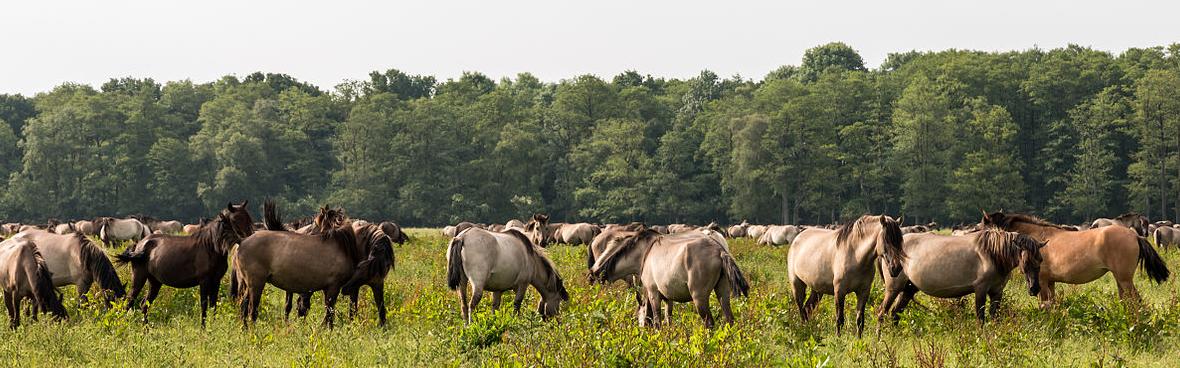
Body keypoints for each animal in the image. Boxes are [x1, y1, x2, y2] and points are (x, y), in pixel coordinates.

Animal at [116, 202, 254, 325]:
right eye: (236, 219)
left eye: (248, 217)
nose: (250, 238)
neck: (211, 247)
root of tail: (139, 245)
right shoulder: (204, 281)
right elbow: (204, 306)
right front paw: (203, 329)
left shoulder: (216, 281)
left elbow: (213, 305)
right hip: (139, 278)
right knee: (129, 301)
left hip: (155, 282)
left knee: (144, 304)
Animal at [587, 227, 745, 327]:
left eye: (610, 247)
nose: (592, 273)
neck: (645, 251)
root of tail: (719, 250)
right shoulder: (668, 297)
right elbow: (668, 317)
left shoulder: (653, 293)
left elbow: (657, 320)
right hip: (722, 292)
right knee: (729, 319)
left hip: (699, 298)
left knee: (709, 323)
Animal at [877, 228, 1043, 323]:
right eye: (1026, 262)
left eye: (1040, 260)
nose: (1034, 289)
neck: (992, 253)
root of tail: (886, 251)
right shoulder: (980, 289)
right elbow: (981, 318)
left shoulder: (997, 291)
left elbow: (995, 317)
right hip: (893, 289)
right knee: (882, 312)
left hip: (908, 289)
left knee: (894, 314)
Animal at [981, 211, 1165, 306]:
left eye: (983, 227)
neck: (1037, 240)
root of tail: (1135, 236)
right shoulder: (1050, 282)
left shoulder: (1042, 282)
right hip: (1120, 279)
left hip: (1124, 279)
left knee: (1135, 300)